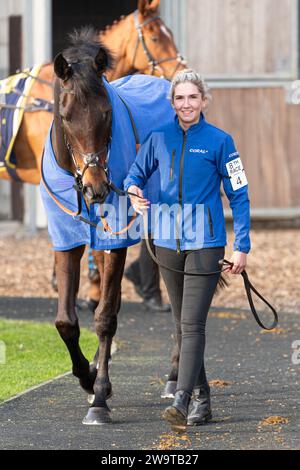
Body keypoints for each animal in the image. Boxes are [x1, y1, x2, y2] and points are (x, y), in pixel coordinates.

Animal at [44, 29, 180, 426]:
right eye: (65, 114)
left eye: (106, 112)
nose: (97, 188)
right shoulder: (67, 238)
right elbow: (66, 321)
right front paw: (88, 378)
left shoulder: (115, 237)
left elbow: (105, 318)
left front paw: (100, 397)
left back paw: (174, 377)